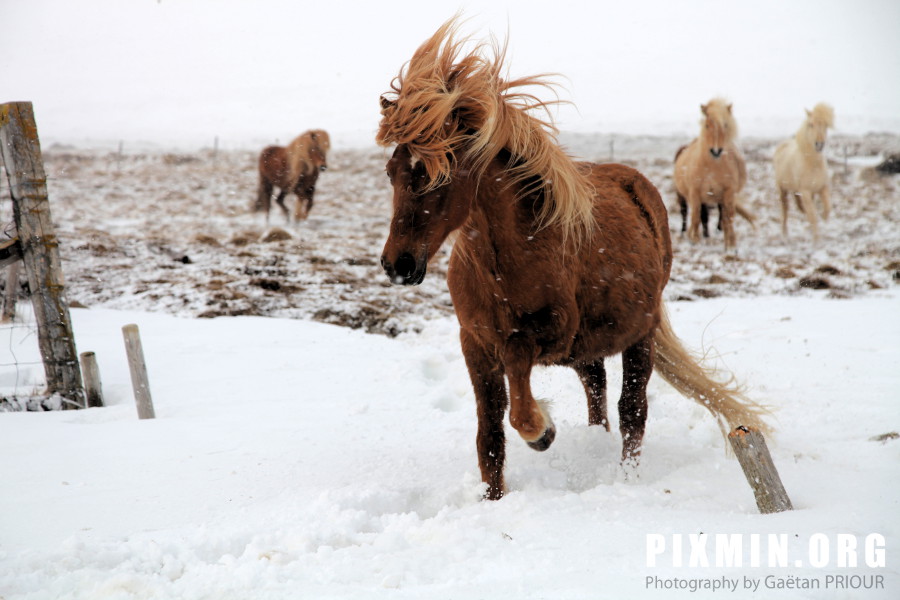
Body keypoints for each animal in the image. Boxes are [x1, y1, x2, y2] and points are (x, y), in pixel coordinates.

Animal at [676, 99, 752, 250]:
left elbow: (728, 217)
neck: (712, 167)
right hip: (683, 196)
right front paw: (694, 239)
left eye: (726, 125)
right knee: (686, 213)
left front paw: (730, 244)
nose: (716, 151)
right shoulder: (695, 192)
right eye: (707, 125)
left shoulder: (728, 192)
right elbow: (696, 217)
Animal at [768, 103, 832, 241]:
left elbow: (827, 209)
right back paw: (784, 233)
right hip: (782, 190)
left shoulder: (822, 188)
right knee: (785, 210)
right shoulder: (805, 191)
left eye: (825, 125)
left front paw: (824, 221)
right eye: (811, 124)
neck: (813, 164)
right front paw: (816, 240)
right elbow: (813, 215)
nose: (819, 144)